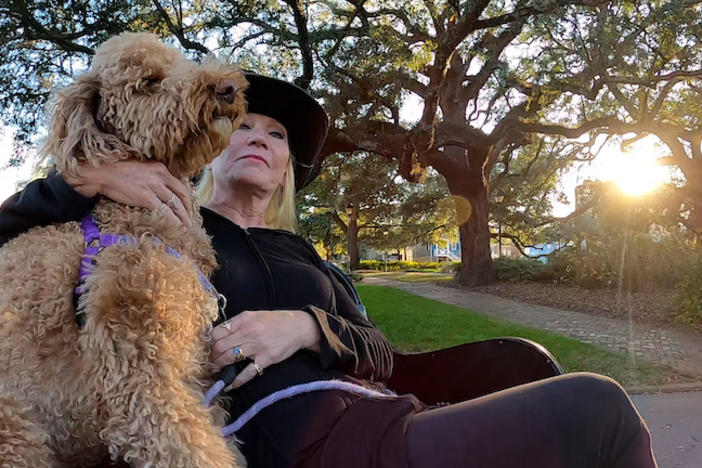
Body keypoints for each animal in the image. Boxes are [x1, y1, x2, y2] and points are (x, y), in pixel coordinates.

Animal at [0, 33, 250, 468]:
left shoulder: (193, 372)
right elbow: (192, 448)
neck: (133, 222)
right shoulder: (140, 374)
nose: (227, 87)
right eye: (148, 82)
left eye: (180, 60)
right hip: (16, 431)